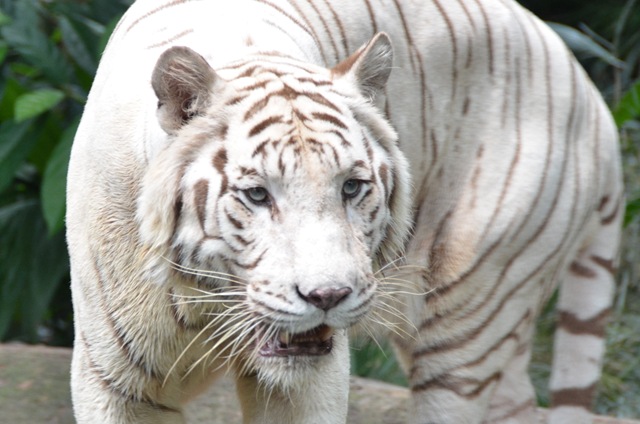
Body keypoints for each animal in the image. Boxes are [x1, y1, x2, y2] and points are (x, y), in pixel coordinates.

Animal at [66, 0, 623, 423]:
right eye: (257, 195)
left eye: (352, 188)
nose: (328, 296)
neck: (205, 300)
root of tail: (598, 107)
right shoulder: (112, 380)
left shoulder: (313, 380)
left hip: (472, 313)